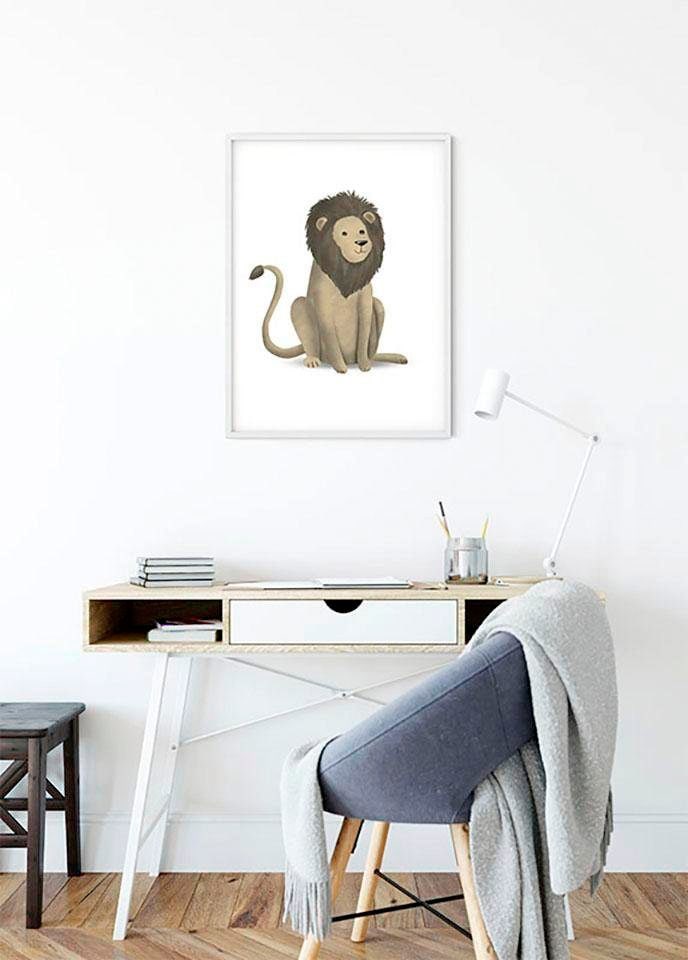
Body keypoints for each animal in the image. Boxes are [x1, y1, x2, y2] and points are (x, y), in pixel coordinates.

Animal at [249, 190, 407, 373]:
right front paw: (340, 368)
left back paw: (384, 358)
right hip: (299, 308)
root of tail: (350, 360)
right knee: (309, 336)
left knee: (372, 349)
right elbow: (330, 334)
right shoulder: (321, 297)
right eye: (344, 233)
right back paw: (313, 360)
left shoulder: (365, 297)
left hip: (379, 306)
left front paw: (365, 365)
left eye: (362, 231)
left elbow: (364, 333)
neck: (346, 268)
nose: (362, 242)